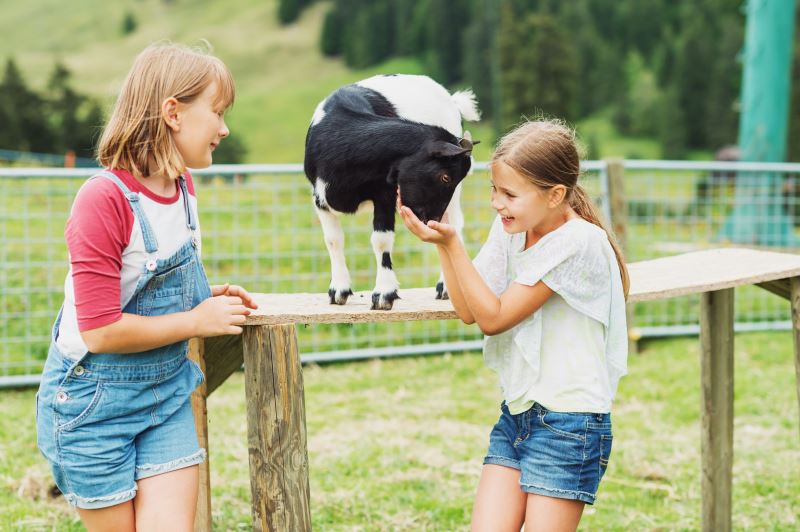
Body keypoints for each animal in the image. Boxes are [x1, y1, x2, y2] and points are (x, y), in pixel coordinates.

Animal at [304, 72, 482, 310]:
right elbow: (333, 240)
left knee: (454, 224)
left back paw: (444, 286)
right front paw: (339, 290)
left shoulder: (385, 195)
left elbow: (381, 240)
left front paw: (384, 294)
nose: (430, 220)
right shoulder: (319, 197)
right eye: (445, 177)